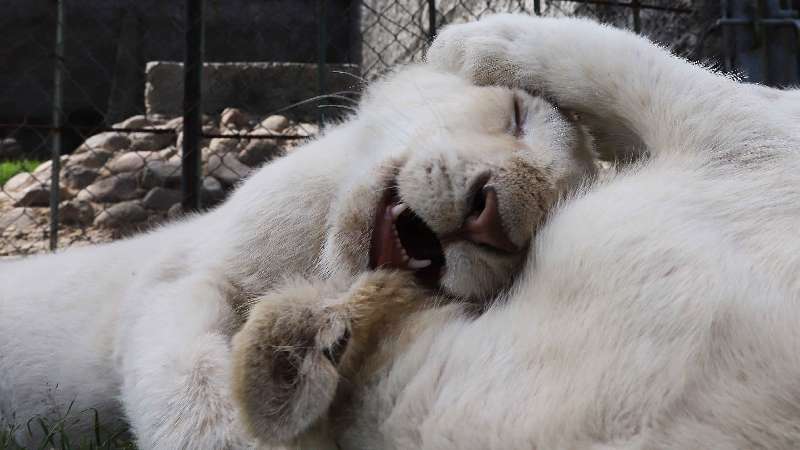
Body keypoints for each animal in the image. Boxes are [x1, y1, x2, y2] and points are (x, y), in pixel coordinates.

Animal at [0, 47, 592, 444]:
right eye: (516, 115)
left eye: (548, 213)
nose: (493, 220)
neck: (319, 261)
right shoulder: (181, 277)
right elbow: (185, 370)